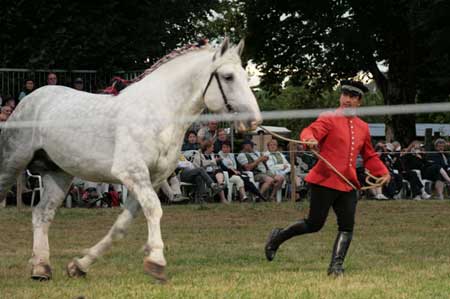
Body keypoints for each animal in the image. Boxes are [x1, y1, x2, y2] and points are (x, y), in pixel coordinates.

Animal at [0, 38, 262, 282]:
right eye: (228, 77)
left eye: (245, 76)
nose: (254, 121)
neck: (158, 112)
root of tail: (31, 99)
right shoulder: (133, 173)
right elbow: (154, 209)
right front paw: (156, 261)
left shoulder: (151, 180)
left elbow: (122, 224)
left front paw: (79, 265)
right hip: (12, 164)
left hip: (58, 174)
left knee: (42, 213)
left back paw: (41, 268)